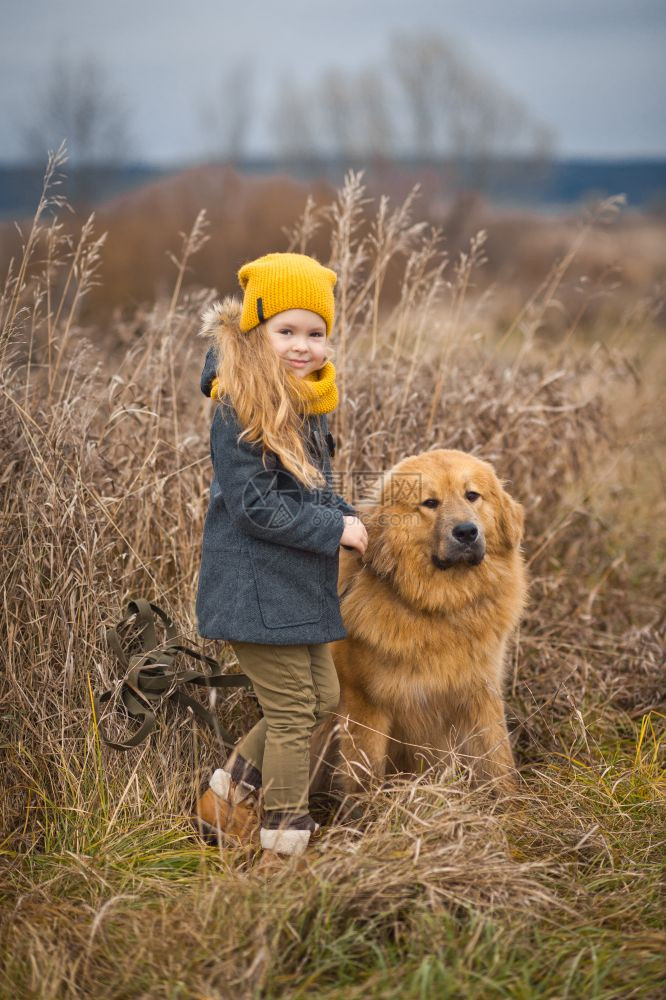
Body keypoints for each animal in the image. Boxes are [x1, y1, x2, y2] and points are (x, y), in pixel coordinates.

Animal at [308, 448, 528, 796]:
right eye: (430, 503)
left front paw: (510, 804)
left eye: (472, 495)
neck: (441, 606)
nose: (466, 532)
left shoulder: (480, 694)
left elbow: (498, 761)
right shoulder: (365, 704)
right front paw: (368, 810)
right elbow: (365, 775)